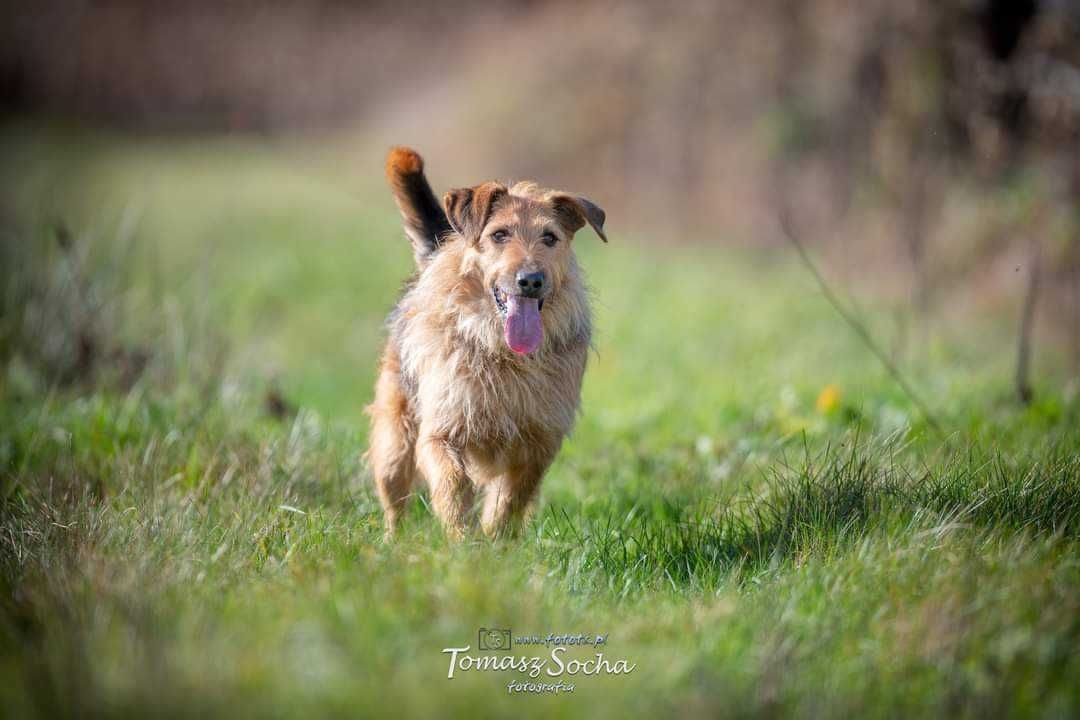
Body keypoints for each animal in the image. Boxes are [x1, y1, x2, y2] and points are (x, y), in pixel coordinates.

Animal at [369, 147, 609, 539]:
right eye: (499, 234)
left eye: (550, 237)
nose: (531, 280)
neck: (503, 353)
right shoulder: (440, 431)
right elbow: (452, 483)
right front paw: (462, 540)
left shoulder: (537, 444)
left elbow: (509, 501)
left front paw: (495, 541)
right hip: (395, 443)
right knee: (395, 504)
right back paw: (393, 542)